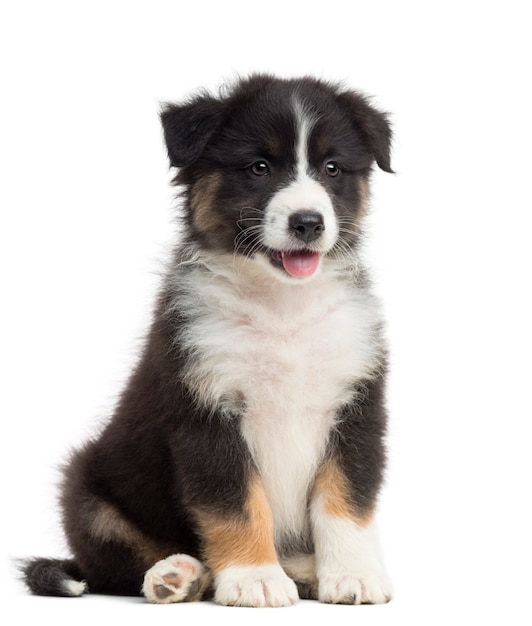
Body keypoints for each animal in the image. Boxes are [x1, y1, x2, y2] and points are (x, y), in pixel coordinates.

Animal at [22, 73, 392, 604]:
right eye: (259, 167)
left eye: (332, 168)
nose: (308, 222)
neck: (282, 306)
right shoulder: (204, 408)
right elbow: (234, 503)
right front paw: (255, 577)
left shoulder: (356, 401)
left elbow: (346, 496)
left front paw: (352, 574)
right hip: (88, 489)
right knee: (116, 565)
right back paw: (177, 575)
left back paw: (300, 567)